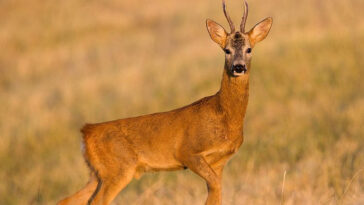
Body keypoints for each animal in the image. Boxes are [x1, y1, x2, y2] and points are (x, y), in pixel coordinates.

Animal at [58, 0, 272, 204]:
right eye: (227, 50)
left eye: (249, 49)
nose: (238, 67)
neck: (224, 115)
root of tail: (86, 132)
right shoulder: (188, 152)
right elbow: (214, 191)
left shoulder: (219, 163)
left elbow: (216, 194)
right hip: (118, 170)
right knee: (96, 201)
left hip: (97, 173)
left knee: (68, 199)